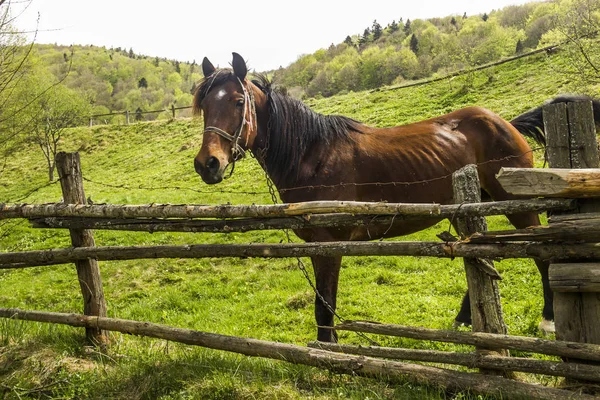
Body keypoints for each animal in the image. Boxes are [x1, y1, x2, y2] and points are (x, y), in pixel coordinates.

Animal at [195, 51, 596, 342]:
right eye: (204, 106)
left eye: (237, 102)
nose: (207, 164)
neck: (312, 154)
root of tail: (506, 123)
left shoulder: (329, 245)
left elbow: (325, 305)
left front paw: (328, 351)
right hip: (464, 210)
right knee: (479, 256)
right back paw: (464, 321)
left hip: (516, 208)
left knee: (541, 256)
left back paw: (548, 321)